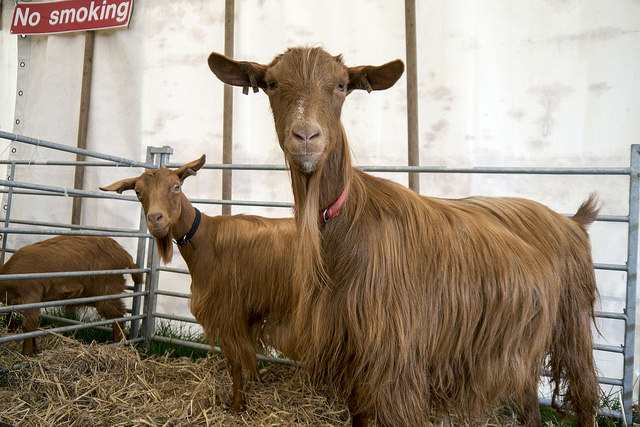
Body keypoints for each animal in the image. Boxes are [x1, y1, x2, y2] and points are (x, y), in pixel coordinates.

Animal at [0, 235, 143, 355]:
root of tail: (123, 253)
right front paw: (34, 349)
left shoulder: (32, 294)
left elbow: (28, 325)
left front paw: (27, 354)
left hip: (107, 291)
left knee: (118, 316)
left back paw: (118, 345)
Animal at [100, 155, 298, 412]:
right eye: (137, 191)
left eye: (176, 186)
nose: (155, 219)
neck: (207, 238)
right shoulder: (246, 311)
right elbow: (248, 354)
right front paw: (253, 384)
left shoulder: (226, 309)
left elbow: (234, 359)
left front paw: (236, 405)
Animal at [208, 47, 601, 426]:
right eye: (272, 84)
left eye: (341, 86)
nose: (306, 136)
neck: (348, 224)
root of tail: (571, 222)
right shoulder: (350, 353)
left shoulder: (398, 363)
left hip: (573, 321)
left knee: (585, 393)